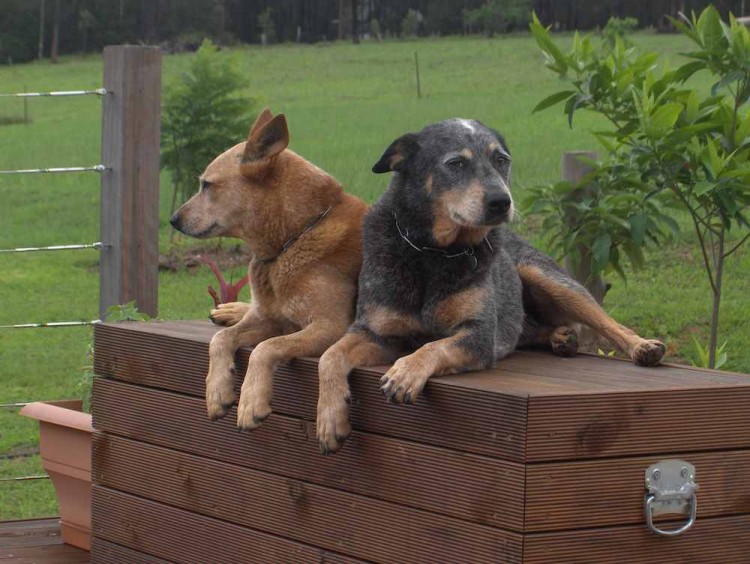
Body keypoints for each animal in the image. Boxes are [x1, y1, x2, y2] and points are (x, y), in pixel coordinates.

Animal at [171, 109, 370, 428]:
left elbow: (266, 348)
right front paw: (217, 390)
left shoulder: (330, 326)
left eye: (207, 185)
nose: (173, 220)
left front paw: (251, 400)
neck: (296, 235)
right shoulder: (269, 320)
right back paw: (229, 310)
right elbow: (220, 339)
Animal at [316, 119, 664, 454]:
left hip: (547, 276)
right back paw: (560, 337)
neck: (433, 252)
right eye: (456, 163)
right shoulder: (376, 332)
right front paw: (329, 419)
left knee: (606, 321)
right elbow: (329, 355)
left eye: (501, 160)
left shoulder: (480, 335)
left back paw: (642, 346)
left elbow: (435, 345)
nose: (501, 201)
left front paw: (406, 371)